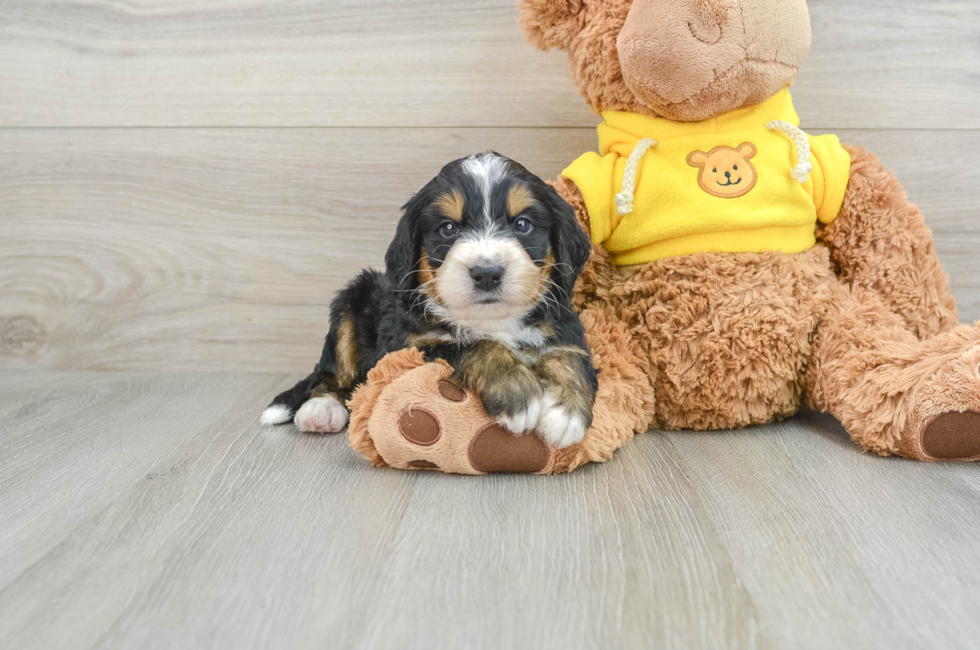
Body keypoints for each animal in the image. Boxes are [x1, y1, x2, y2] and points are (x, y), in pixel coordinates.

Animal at [260, 151, 596, 446]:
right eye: (448, 228)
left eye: (523, 224)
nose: (487, 273)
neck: (492, 320)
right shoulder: (407, 349)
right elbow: (472, 344)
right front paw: (516, 391)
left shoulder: (564, 325)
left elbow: (569, 356)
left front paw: (566, 413)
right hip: (352, 300)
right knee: (331, 375)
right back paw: (321, 409)